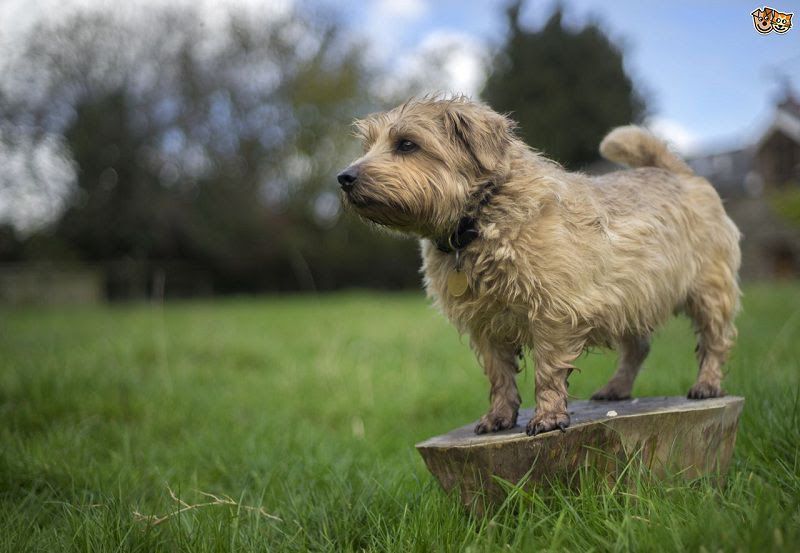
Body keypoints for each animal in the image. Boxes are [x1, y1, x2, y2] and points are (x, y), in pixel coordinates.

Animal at [336, 98, 736, 436]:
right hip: (629, 298)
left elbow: (547, 370)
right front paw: (498, 416)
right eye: (367, 145)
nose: (344, 177)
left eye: (407, 144)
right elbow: (499, 375)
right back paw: (616, 387)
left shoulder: (553, 311)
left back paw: (707, 384)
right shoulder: (485, 324)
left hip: (708, 290)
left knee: (715, 339)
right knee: (638, 347)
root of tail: (682, 173)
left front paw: (548, 417)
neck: (478, 220)